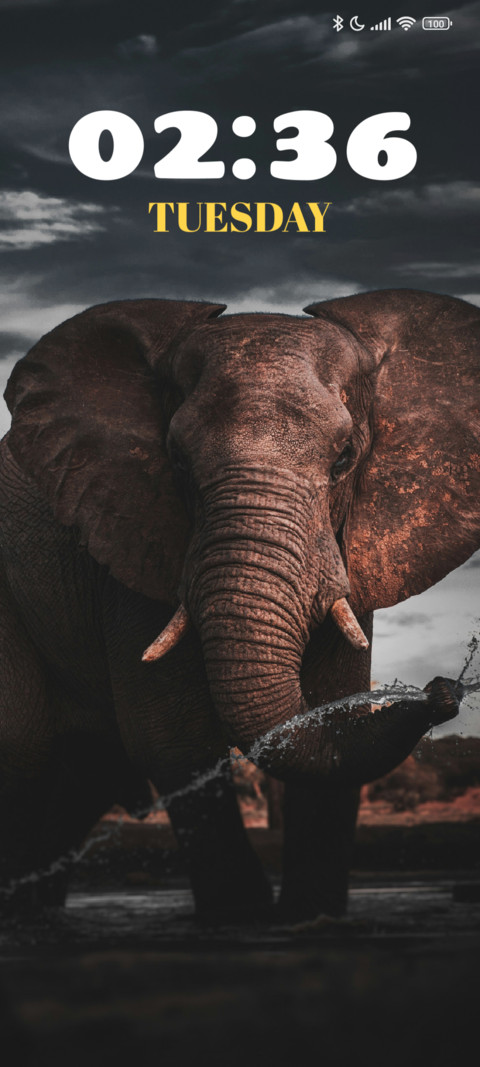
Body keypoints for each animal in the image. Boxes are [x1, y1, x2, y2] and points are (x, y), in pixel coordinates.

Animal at [0, 288, 478, 921]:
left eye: (346, 458)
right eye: (176, 459)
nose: (442, 690)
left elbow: (332, 712)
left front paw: (310, 918)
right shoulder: (132, 537)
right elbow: (173, 740)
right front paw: (242, 919)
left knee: (78, 777)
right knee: (22, 749)